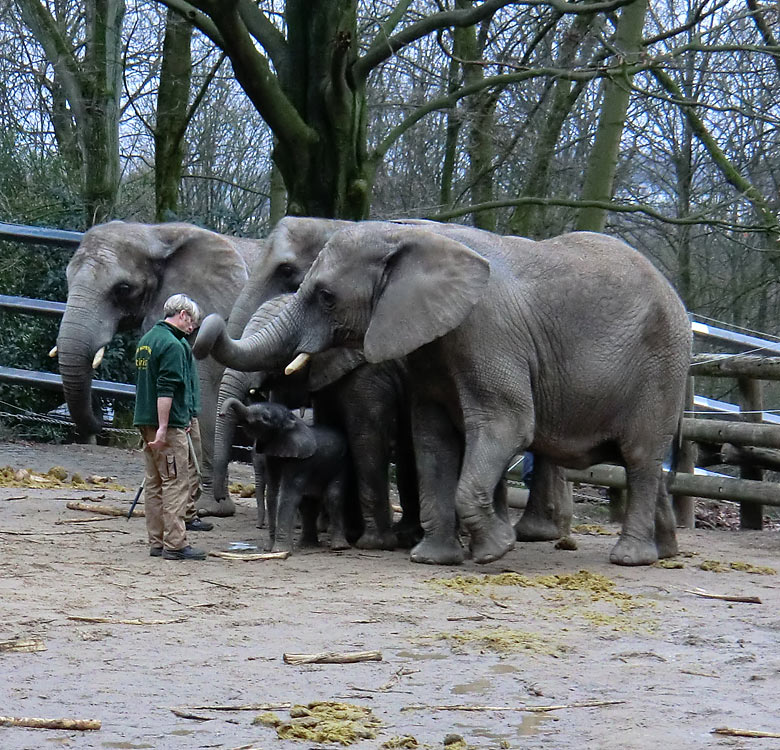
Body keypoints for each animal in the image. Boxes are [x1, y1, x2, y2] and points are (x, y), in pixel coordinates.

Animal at [56, 220, 266, 520]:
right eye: (67, 279)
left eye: (123, 288)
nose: (99, 421)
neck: (155, 233)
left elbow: (205, 394)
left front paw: (210, 509)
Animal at [218, 400, 348, 552]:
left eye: (265, 418)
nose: (221, 413)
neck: (290, 421)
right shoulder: (273, 455)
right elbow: (272, 493)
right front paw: (269, 549)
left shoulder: (301, 460)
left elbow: (288, 494)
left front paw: (280, 550)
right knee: (308, 502)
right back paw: (306, 545)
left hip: (341, 464)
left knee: (333, 496)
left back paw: (338, 547)